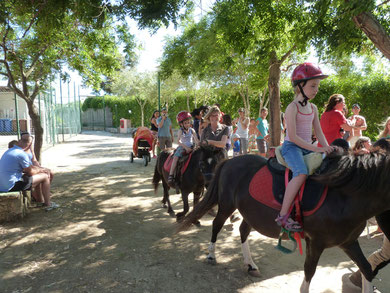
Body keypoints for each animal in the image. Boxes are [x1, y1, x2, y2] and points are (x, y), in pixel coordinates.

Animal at [178, 152, 390, 290]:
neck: (343, 197)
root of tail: (230, 160)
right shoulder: (316, 242)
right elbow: (308, 273)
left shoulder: (349, 242)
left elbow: (367, 269)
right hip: (226, 205)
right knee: (217, 225)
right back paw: (211, 256)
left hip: (250, 213)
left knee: (243, 231)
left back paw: (250, 264)